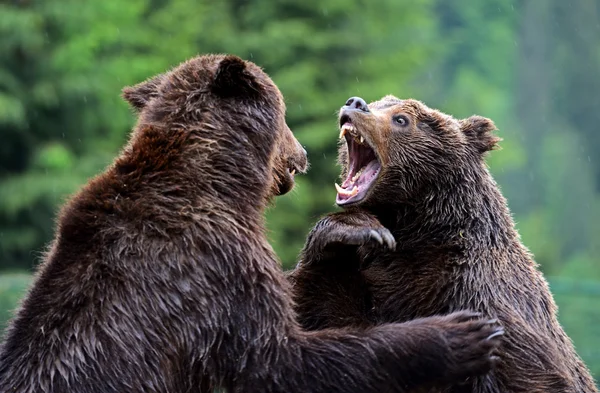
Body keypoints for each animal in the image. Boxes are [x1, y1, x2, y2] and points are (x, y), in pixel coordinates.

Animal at [0, 59, 502, 392]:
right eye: (284, 113)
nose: (301, 153)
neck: (220, 182)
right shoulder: (217, 270)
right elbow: (283, 361)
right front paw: (461, 335)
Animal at [288, 95, 596, 392]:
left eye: (401, 119)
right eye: (378, 103)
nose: (355, 103)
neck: (415, 228)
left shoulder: (477, 290)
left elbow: (528, 371)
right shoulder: (371, 279)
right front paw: (356, 228)